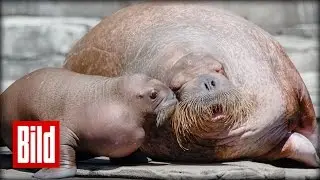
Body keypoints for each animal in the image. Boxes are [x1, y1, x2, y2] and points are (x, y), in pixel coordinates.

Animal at [0, 67, 176, 179]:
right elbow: (63, 150)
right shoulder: (63, 130)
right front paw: (45, 174)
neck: (113, 97)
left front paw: (140, 159)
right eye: (153, 94)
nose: (174, 98)